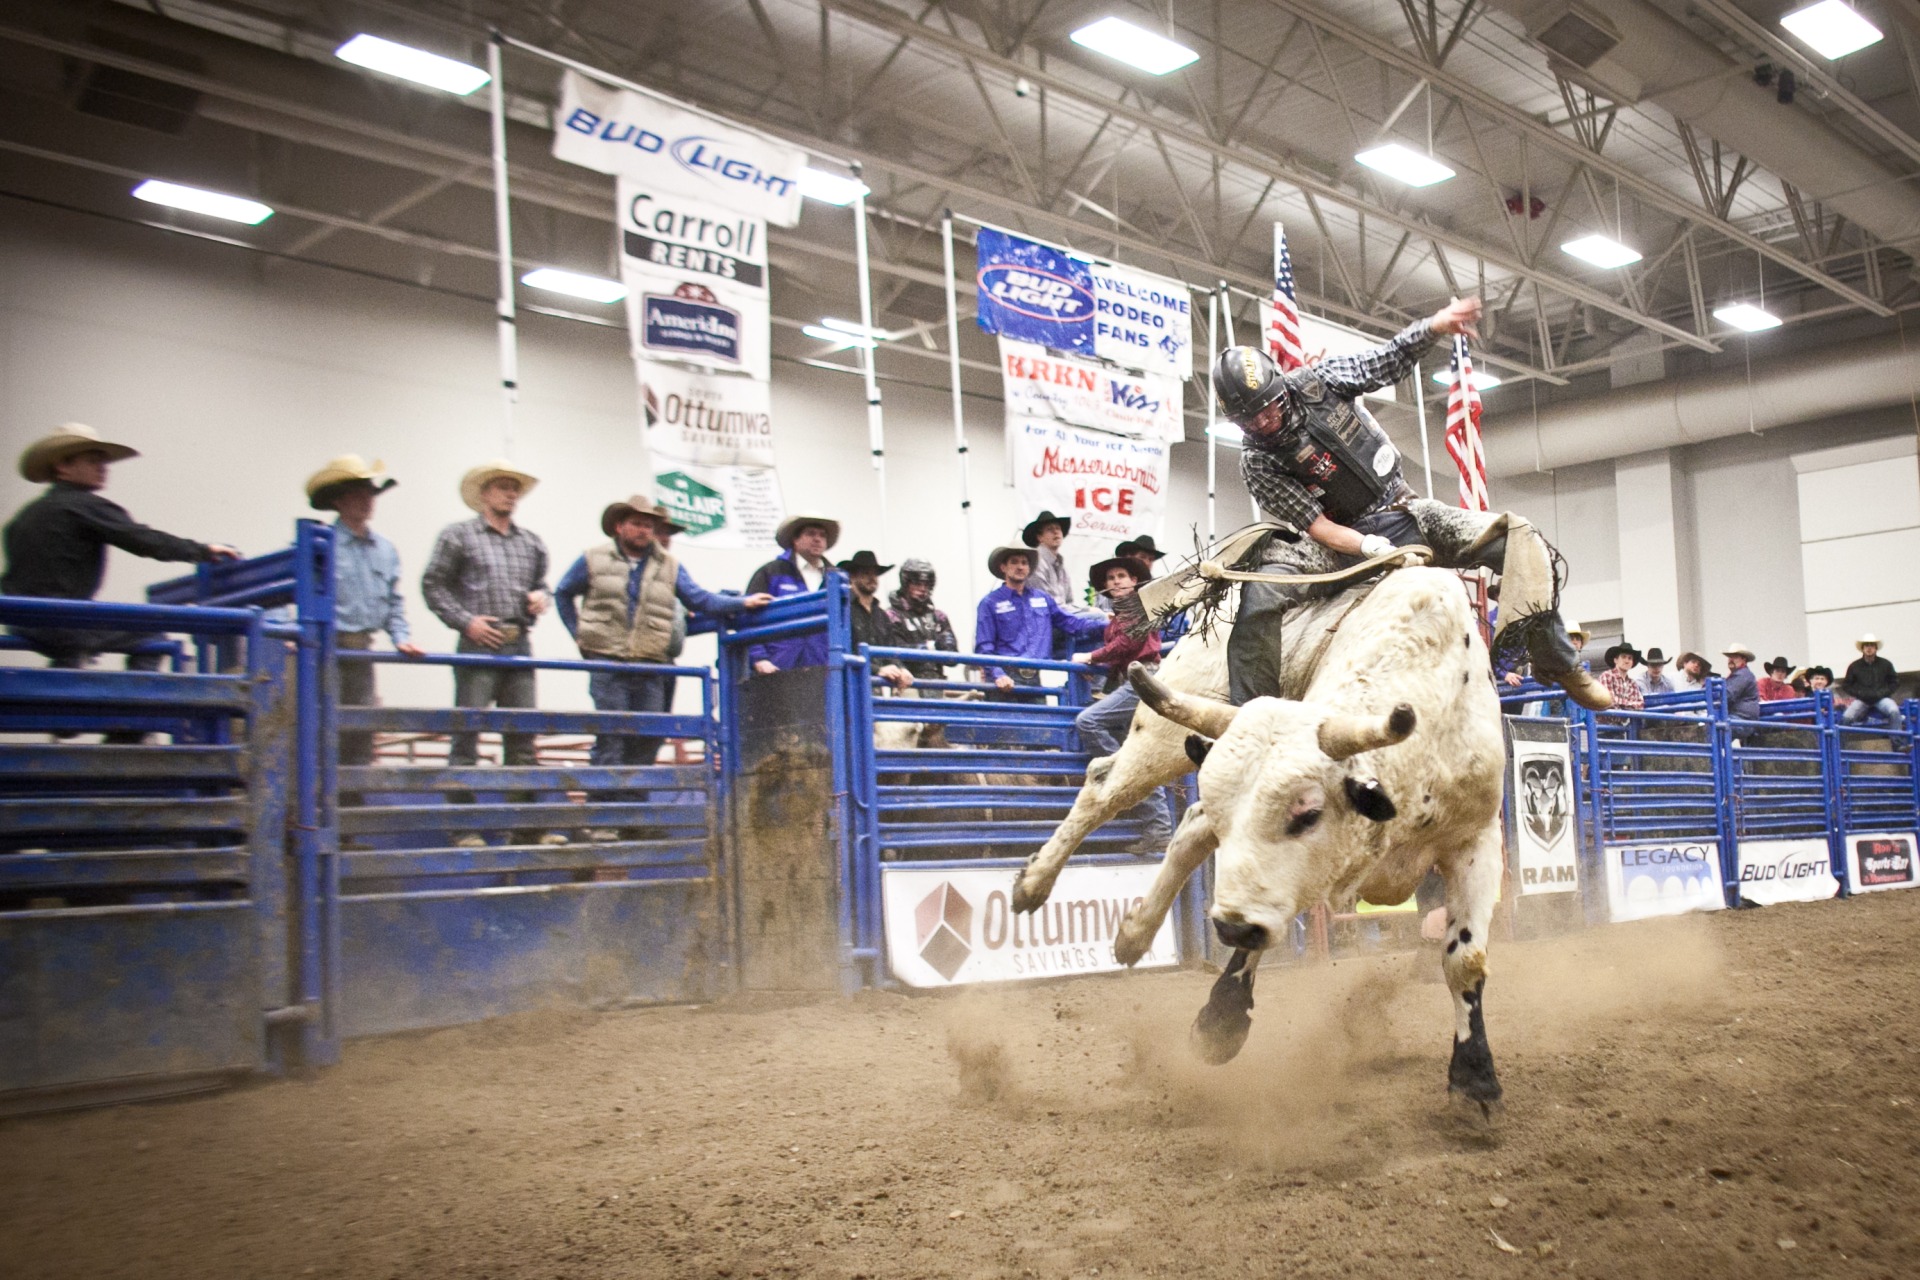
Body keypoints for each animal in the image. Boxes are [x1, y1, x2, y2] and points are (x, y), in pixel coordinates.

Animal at [1013, 568, 1505, 1113]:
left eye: (1308, 813)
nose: (1229, 926)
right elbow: (1259, 933)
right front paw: (1221, 1021)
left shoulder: (1477, 840)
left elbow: (1464, 960)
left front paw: (1474, 1076)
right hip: (1161, 732)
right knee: (1106, 787)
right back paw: (1034, 885)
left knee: (1188, 828)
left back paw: (1134, 933)